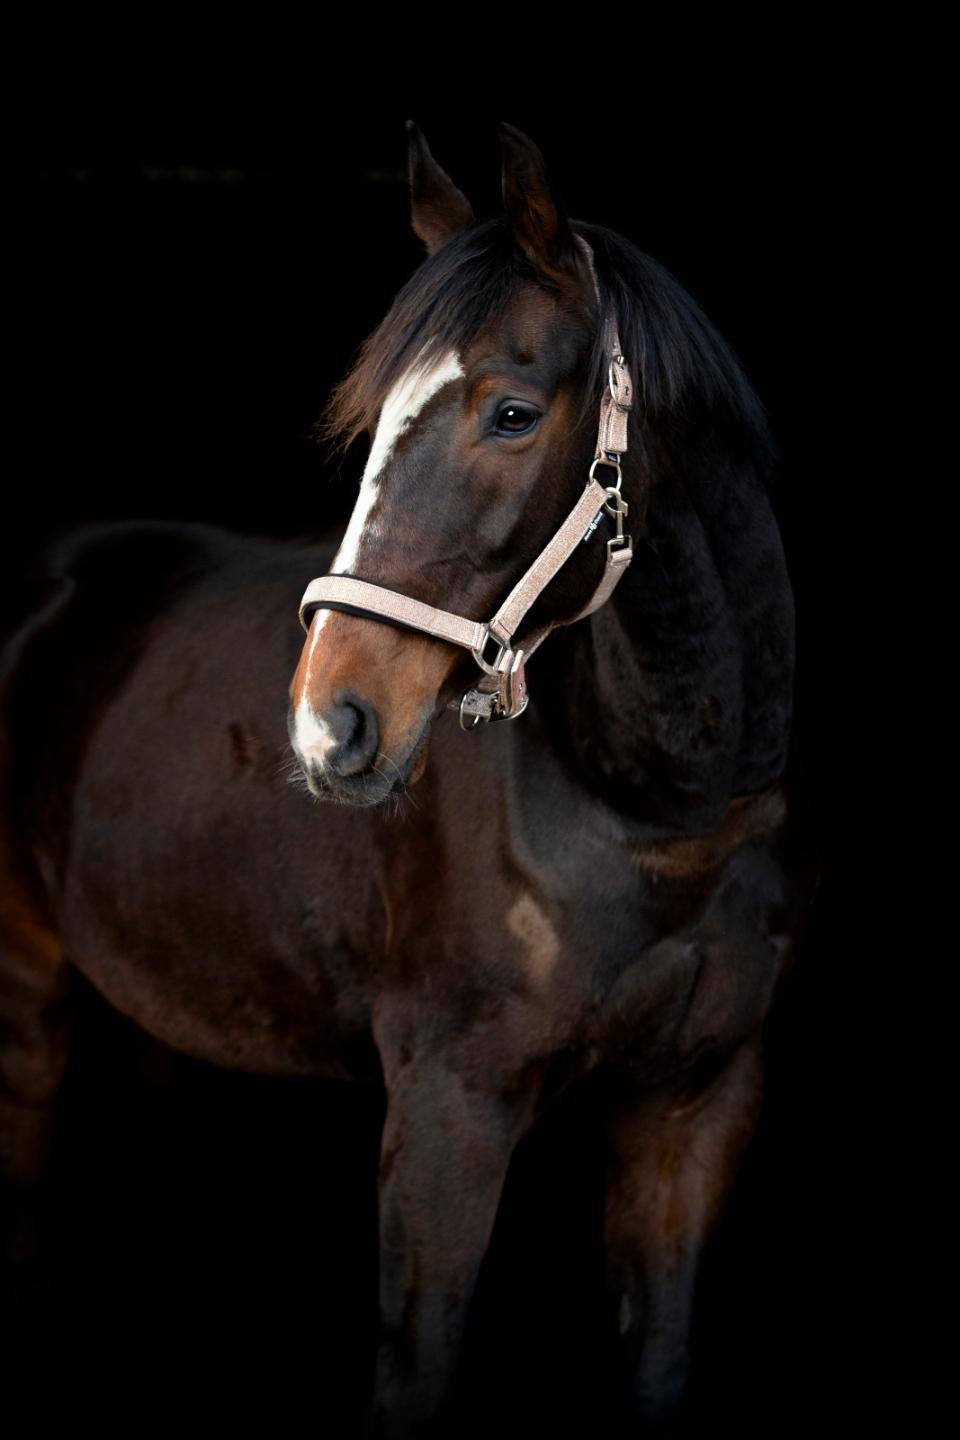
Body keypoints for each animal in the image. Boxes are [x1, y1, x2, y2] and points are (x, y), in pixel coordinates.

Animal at [1, 120, 821, 1435]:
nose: (328, 725)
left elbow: (658, 1365)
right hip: (26, 987)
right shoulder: (448, 1110)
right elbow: (414, 1374)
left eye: (512, 412)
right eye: (377, 419)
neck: (658, 809)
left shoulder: (700, 1107)